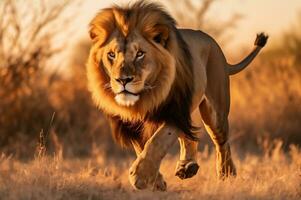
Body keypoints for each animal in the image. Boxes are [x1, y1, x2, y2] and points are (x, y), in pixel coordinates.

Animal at [86, 1, 268, 191]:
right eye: (111, 55)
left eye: (140, 54)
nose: (123, 80)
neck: (147, 95)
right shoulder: (130, 123)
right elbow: (142, 147)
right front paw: (155, 182)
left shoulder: (175, 111)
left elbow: (157, 141)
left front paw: (140, 176)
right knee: (190, 136)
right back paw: (187, 167)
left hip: (215, 111)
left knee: (221, 142)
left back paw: (226, 175)